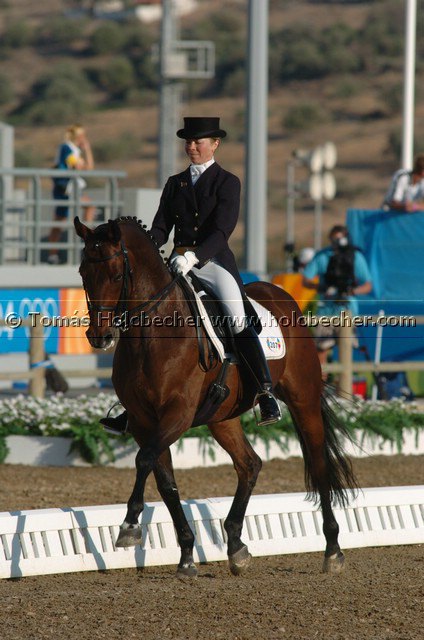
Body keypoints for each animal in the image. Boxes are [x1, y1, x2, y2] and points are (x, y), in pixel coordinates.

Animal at [74, 218, 356, 576]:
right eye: (83, 272)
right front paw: (186, 556)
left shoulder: (177, 415)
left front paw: (129, 527)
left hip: (302, 399)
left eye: (115, 275)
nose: (99, 337)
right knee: (249, 464)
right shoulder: (142, 422)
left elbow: (144, 461)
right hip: (223, 417)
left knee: (318, 463)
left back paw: (332, 550)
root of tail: (280, 294)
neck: (152, 335)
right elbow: (164, 480)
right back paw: (236, 546)